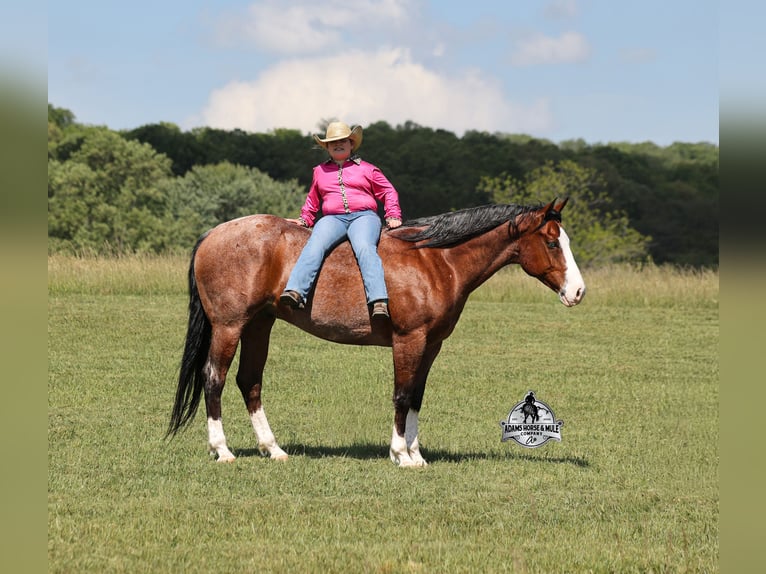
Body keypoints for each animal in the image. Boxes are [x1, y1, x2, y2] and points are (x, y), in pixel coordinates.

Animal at [167, 199, 585, 467]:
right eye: (552, 241)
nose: (578, 292)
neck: (435, 260)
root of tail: (212, 235)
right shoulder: (408, 339)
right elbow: (401, 395)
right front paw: (401, 455)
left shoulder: (430, 345)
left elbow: (416, 397)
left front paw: (416, 454)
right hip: (230, 326)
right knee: (214, 378)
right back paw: (222, 450)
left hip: (258, 325)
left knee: (249, 382)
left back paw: (274, 449)